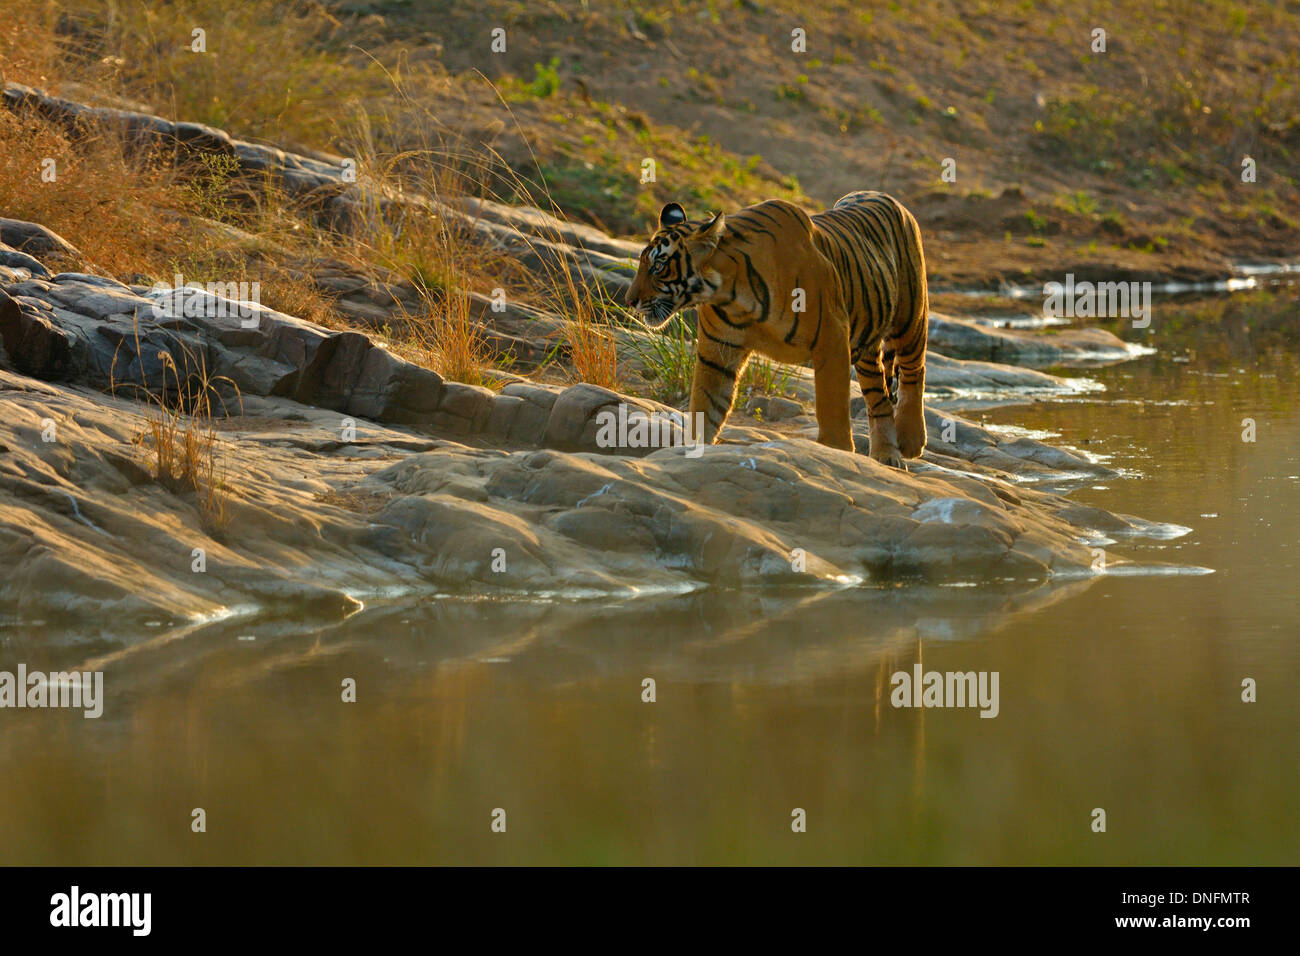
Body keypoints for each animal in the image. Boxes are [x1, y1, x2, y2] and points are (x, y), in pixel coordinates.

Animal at [626, 189, 925, 468]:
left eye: (659, 266)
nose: (630, 301)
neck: (731, 293)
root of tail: (882, 195)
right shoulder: (718, 351)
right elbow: (705, 404)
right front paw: (693, 449)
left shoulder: (832, 338)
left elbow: (832, 404)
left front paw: (836, 451)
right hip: (867, 341)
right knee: (878, 394)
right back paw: (886, 453)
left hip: (910, 318)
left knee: (914, 371)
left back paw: (910, 441)